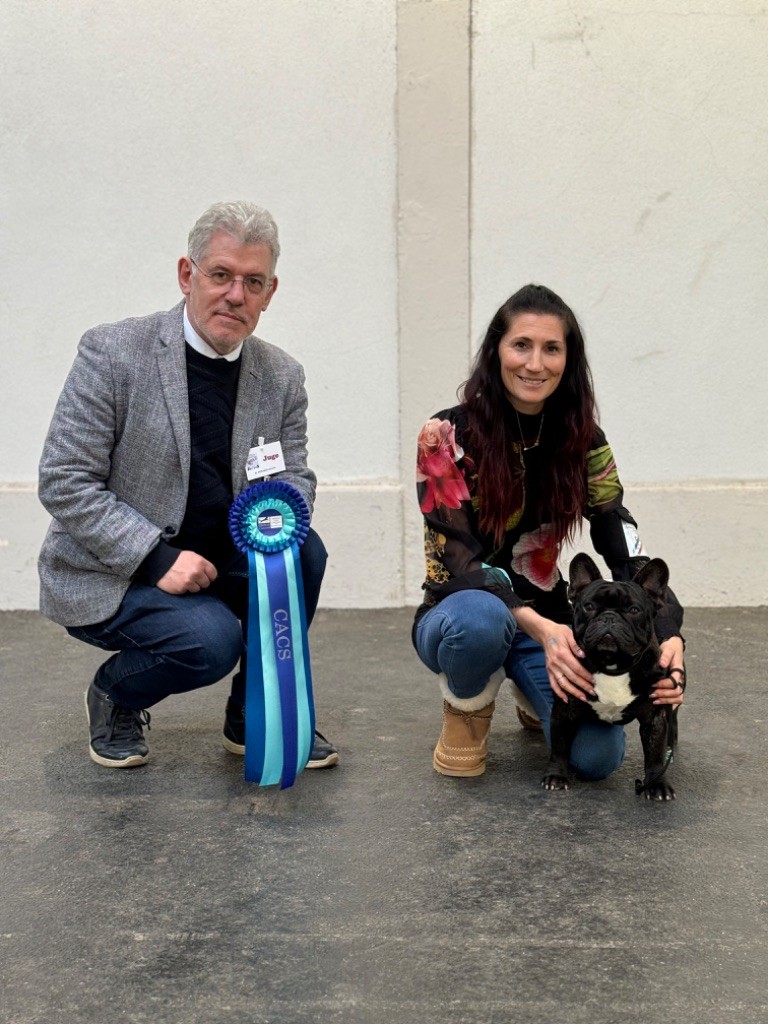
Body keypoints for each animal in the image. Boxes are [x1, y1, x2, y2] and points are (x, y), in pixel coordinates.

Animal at [541, 553, 680, 801]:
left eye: (633, 610)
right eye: (588, 606)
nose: (608, 618)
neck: (612, 664)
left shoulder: (654, 717)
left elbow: (654, 753)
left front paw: (657, 783)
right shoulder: (564, 711)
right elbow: (559, 746)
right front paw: (556, 776)